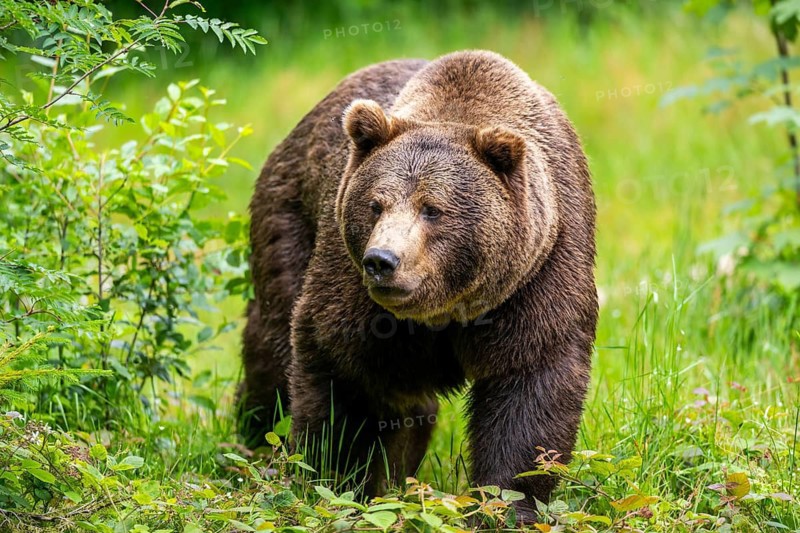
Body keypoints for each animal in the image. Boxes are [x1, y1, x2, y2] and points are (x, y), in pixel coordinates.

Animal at [240, 50, 597, 521]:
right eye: (376, 205)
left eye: (433, 209)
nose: (382, 261)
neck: (447, 307)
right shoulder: (348, 281)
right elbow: (341, 370)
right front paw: (339, 481)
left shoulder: (540, 273)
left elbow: (530, 388)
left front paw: (507, 503)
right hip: (290, 218)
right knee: (271, 349)